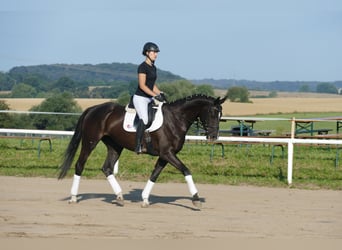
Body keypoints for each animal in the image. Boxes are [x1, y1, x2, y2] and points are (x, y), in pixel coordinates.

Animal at [57, 94, 226, 208]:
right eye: (212, 113)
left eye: (220, 114)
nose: (213, 136)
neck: (176, 119)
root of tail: (93, 109)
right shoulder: (167, 153)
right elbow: (186, 170)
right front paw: (196, 198)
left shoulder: (165, 156)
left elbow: (155, 174)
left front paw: (145, 199)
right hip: (90, 142)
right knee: (80, 164)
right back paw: (73, 197)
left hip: (115, 146)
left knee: (107, 168)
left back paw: (119, 196)